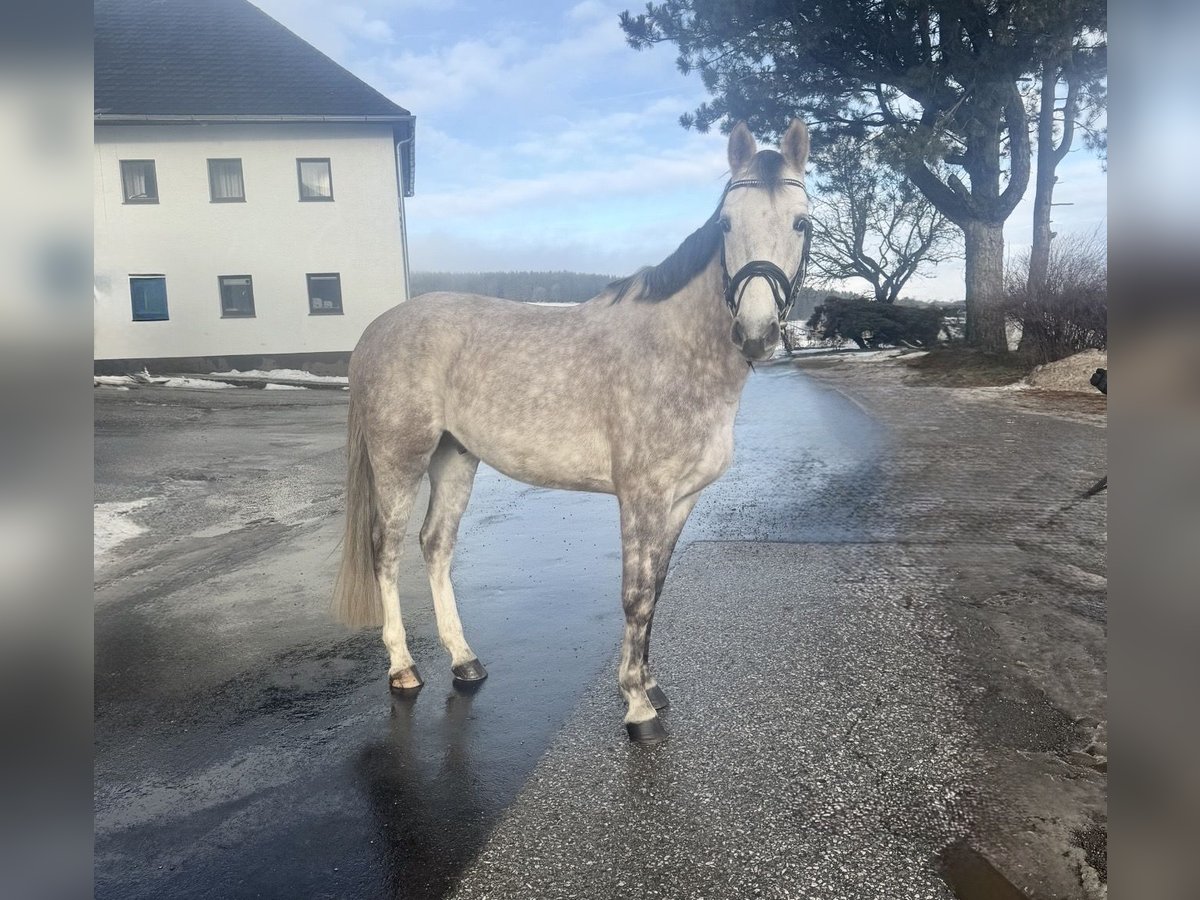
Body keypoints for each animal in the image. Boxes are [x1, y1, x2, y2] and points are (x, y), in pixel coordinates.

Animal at [335, 120, 812, 743]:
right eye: (727, 223)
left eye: (802, 223)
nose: (755, 334)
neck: (674, 351)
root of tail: (375, 330)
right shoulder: (641, 496)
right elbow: (635, 596)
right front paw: (637, 707)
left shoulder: (681, 500)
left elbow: (657, 590)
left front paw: (651, 685)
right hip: (400, 460)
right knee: (386, 552)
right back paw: (402, 669)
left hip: (455, 458)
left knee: (435, 545)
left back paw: (465, 660)